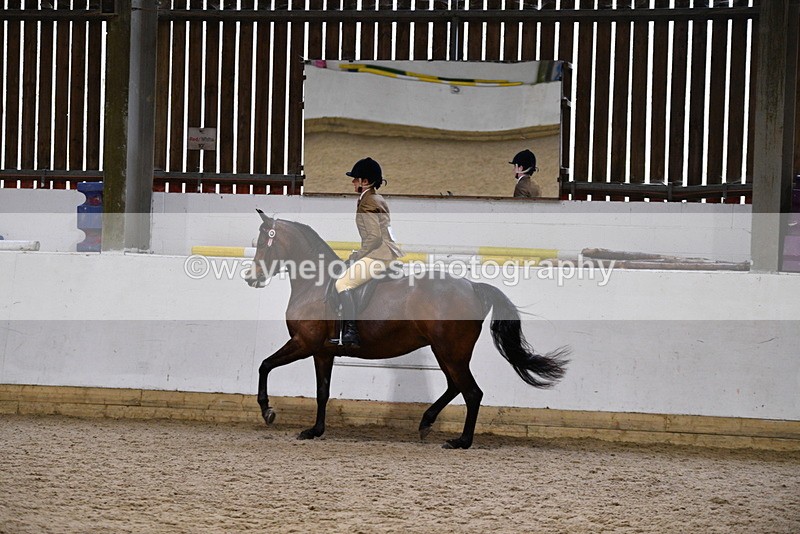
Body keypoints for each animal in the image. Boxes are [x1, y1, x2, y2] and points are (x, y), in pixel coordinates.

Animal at [244, 210, 569, 449]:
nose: (251, 278)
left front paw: (267, 410)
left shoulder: (304, 343)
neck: (316, 284)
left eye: (261, 244)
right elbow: (322, 391)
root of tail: (473, 287)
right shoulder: (323, 352)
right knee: (456, 386)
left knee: (472, 392)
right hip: (445, 351)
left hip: (450, 351)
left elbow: (264, 365)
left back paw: (461, 441)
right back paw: (426, 423)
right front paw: (315, 430)